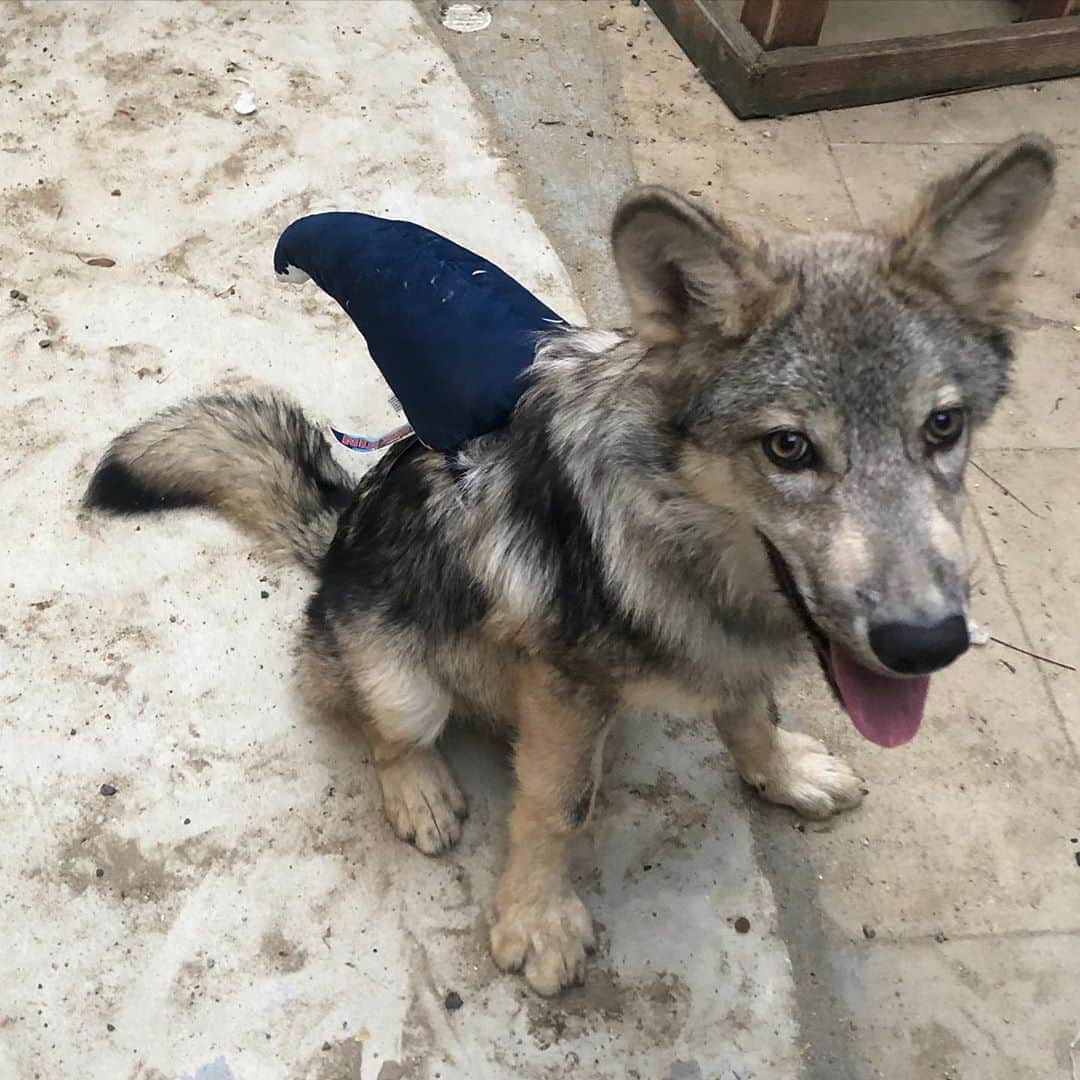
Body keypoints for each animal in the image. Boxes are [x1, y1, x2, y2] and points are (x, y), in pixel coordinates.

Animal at [84, 135, 1054, 993]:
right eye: (789, 448)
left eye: (943, 427)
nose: (928, 644)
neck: (682, 538)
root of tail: (334, 536)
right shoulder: (565, 688)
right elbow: (553, 808)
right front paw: (537, 922)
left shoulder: (724, 658)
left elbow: (748, 717)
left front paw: (782, 772)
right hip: (400, 678)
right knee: (387, 731)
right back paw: (420, 791)